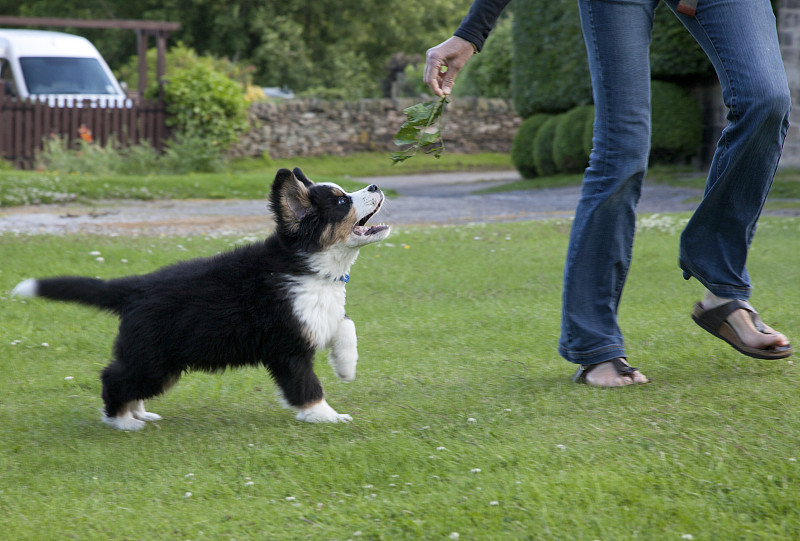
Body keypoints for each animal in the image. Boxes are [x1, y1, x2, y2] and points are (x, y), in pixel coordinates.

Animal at [8, 167, 390, 428]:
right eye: (341, 201)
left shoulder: (317, 315)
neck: (305, 264)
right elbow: (307, 386)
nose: (375, 185)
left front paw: (346, 367)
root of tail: (136, 287)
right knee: (113, 377)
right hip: (154, 361)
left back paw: (140, 414)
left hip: (158, 363)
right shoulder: (287, 347)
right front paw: (327, 416)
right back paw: (122, 421)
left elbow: (345, 323)